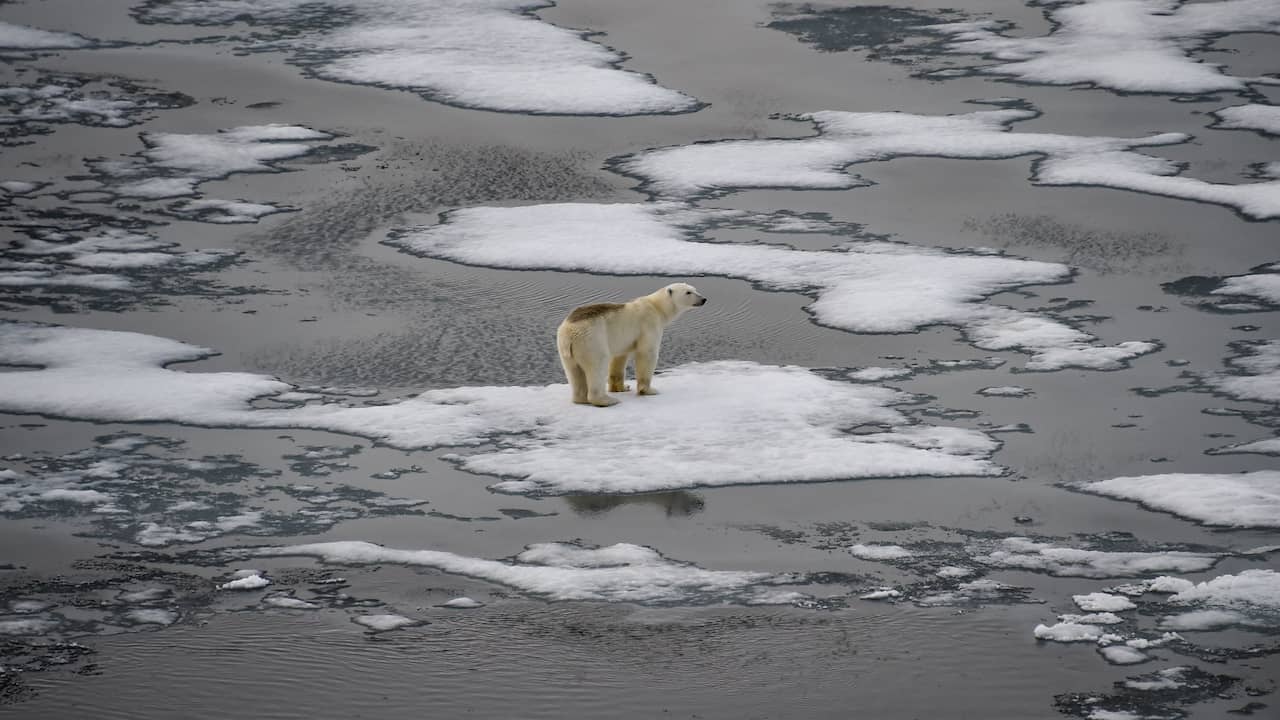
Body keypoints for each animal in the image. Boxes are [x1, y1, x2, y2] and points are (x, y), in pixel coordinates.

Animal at [552, 280, 706, 404]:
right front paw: (649, 390)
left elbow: (619, 359)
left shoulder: (622, 340)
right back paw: (607, 400)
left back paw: (581, 398)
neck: (657, 307)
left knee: (573, 371)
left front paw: (623, 387)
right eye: (688, 292)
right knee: (598, 365)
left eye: (695, 289)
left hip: (567, 350)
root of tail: (569, 332)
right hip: (592, 341)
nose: (704, 299)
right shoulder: (649, 325)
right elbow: (647, 353)